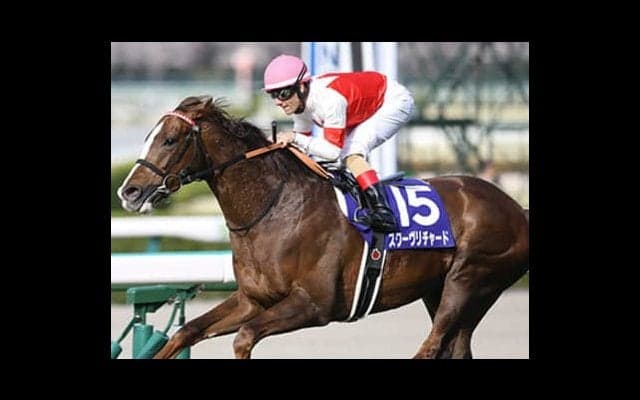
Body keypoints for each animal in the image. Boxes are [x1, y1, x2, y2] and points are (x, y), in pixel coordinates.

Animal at [116, 95, 529, 359]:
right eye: (149, 137)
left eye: (170, 140)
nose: (128, 192)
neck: (274, 208)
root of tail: (516, 208)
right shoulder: (252, 299)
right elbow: (186, 331)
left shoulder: (314, 304)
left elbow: (244, 338)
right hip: (445, 291)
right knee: (456, 348)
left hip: (469, 279)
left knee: (432, 346)